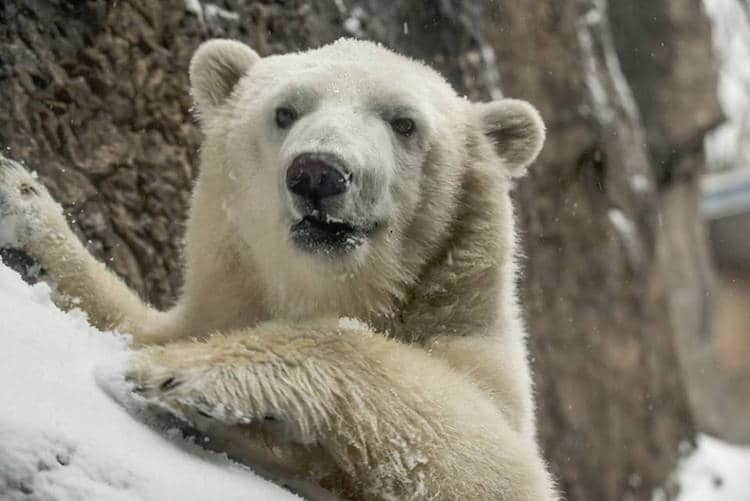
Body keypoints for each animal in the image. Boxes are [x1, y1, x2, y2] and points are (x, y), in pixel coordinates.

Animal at [0, 37, 560, 498]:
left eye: (404, 123)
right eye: (285, 112)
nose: (318, 173)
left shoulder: (476, 348)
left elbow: (491, 460)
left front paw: (184, 373)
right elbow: (136, 324)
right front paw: (22, 208)